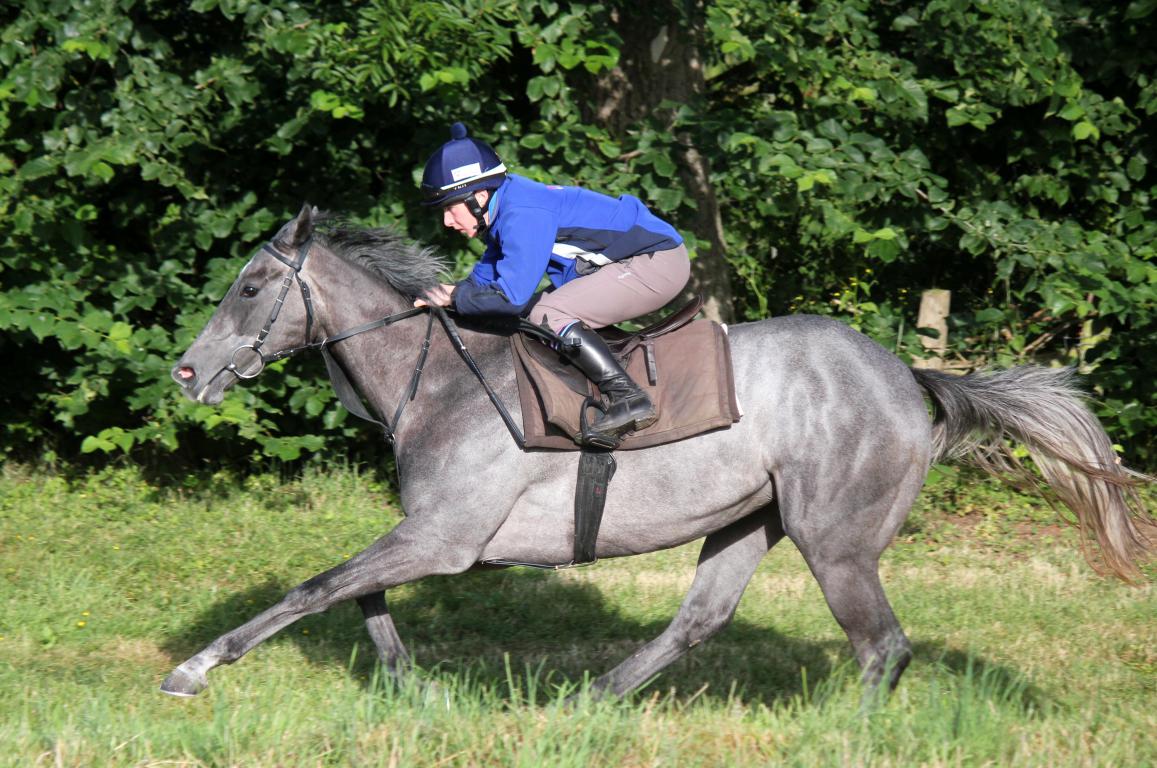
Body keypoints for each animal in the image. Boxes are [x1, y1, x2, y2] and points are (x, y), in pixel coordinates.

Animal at [162, 204, 1152, 699]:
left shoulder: (445, 538)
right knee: (699, 621)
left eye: (250, 286)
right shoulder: (435, 537)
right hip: (749, 519)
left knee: (881, 647)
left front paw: (194, 667)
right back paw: (588, 701)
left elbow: (315, 588)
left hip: (834, 542)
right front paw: (412, 687)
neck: (434, 375)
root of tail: (908, 376)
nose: (187, 372)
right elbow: (358, 595)